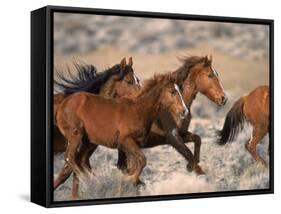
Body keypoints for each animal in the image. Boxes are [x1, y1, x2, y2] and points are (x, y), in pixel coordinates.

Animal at [55, 73, 188, 199]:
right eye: (172, 91)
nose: (184, 111)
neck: (138, 110)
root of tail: (62, 105)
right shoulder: (126, 141)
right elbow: (142, 160)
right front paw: (130, 179)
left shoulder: (132, 146)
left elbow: (133, 165)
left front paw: (134, 182)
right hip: (76, 135)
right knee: (70, 158)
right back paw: (90, 179)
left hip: (87, 141)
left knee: (79, 161)